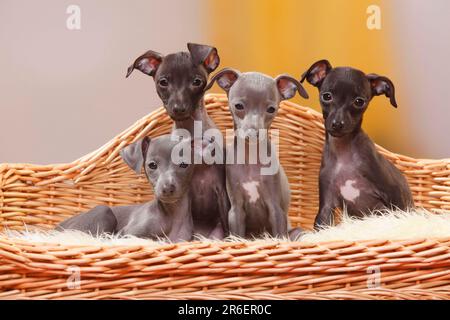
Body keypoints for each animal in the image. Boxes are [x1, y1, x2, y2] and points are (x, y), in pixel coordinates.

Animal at [57, 135, 194, 242]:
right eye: (152, 165)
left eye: (184, 164)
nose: (167, 188)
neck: (171, 215)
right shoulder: (126, 234)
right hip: (103, 211)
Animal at [207, 68, 310, 238]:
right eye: (238, 106)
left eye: (271, 109)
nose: (253, 133)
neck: (251, 157)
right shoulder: (236, 211)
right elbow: (237, 236)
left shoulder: (276, 210)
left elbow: (279, 235)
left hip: (296, 231)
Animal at [300, 60, 414, 229]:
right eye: (326, 96)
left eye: (359, 101)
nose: (337, 124)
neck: (344, 153)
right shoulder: (326, 207)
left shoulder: (394, 193)